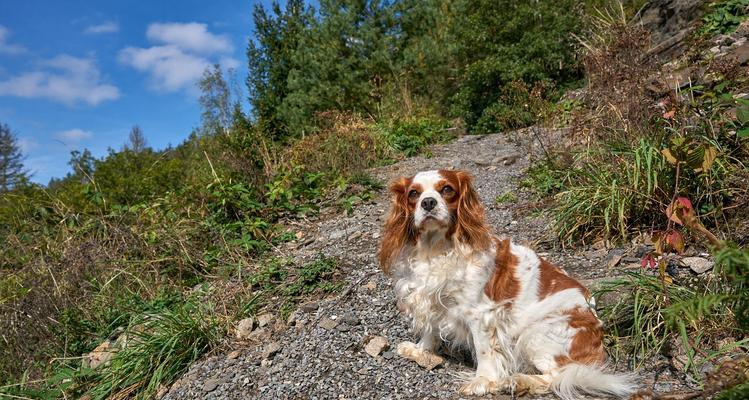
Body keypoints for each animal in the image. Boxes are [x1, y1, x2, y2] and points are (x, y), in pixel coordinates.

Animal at [380, 170, 632, 400]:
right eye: (414, 194)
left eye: (447, 190)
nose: (428, 202)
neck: (436, 249)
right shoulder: (430, 298)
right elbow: (430, 329)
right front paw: (420, 349)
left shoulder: (480, 314)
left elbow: (484, 350)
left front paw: (483, 380)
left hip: (536, 334)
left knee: (558, 376)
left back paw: (518, 381)